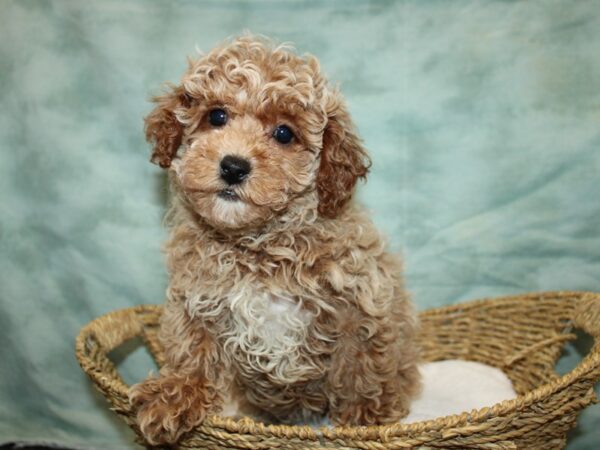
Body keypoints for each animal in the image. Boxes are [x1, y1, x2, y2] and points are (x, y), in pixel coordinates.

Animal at [130, 36, 422, 446]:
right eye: (216, 116)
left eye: (284, 133)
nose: (233, 166)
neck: (259, 245)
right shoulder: (195, 299)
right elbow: (193, 350)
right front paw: (174, 396)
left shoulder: (360, 296)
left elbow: (359, 362)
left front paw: (367, 417)